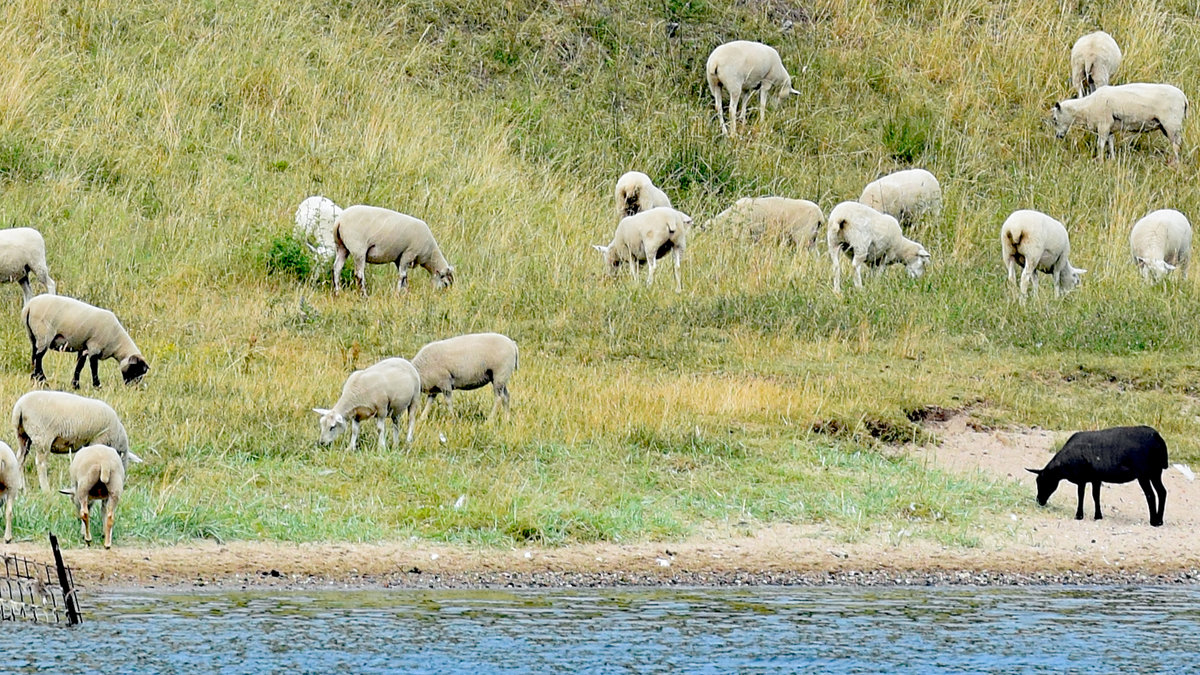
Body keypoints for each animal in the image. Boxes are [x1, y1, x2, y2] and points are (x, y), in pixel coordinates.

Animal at [12, 386, 140, 492]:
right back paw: (46, 489)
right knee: (40, 463)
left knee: (20, 458)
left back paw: (20, 487)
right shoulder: (98, 440)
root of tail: (20, 407)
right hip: (42, 436)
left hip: (22, 435)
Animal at [1027, 420, 1166, 526]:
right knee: (1162, 492)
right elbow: (1096, 496)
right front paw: (1098, 516)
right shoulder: (1096, 478)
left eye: (1044, 482)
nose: (1039, 501)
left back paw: (1154, 521)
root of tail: (1158, 438)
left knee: (1151, 495)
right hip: (1155, 472)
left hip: (1144, 473)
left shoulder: (1081, 478)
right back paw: (1160, 520)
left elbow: (1081, 495)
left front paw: (1079, 515)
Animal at [1051, 82, 1190, 163]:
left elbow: (1100, 145)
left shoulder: (1103, 125)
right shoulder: (1109, 128)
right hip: (1166, 126)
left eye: (1054, 119)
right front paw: (1112, 159)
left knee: (1176, 144)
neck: (1086, 107)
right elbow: (1111, 143)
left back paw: (1176, 162)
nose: (1058, 136)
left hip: (1171, 124)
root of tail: (1184, 98)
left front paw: (1100, 161)